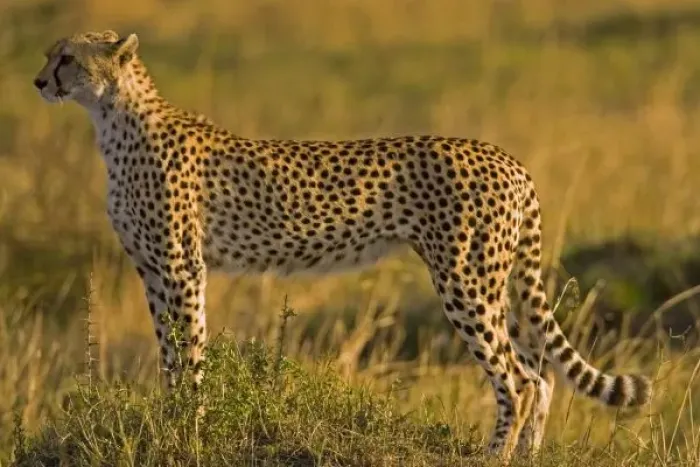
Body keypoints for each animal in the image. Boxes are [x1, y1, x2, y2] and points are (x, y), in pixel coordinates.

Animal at [33, 30, 651, 461]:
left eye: (67, 58)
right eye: (50, 55)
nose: (39, 82)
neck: (113, 118)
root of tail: (508, 159)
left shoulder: (183, 268)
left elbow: (190, 355)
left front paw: (190, 430)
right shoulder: (153, 272)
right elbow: (168, 356)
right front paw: (170, 422)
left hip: (466, 281)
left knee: (519, 379)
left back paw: (494, 456)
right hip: (498, 283)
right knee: (541, 376)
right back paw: (524, 457)